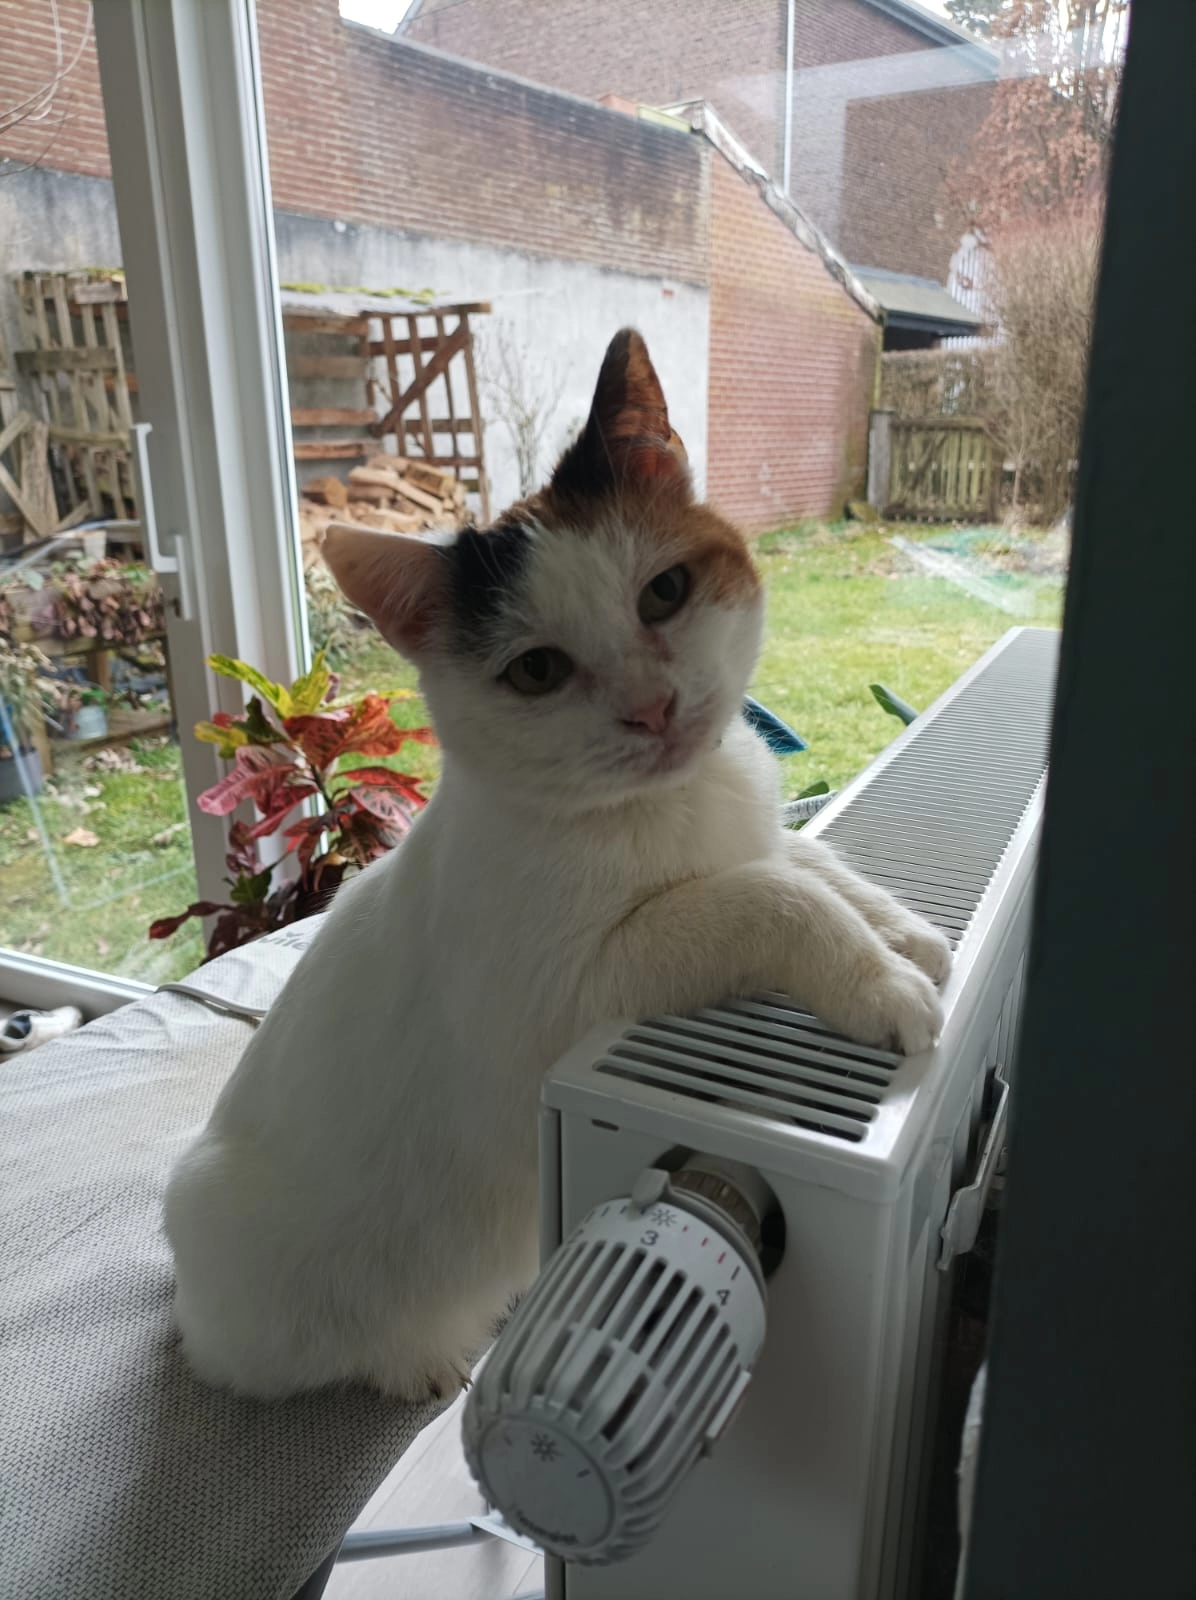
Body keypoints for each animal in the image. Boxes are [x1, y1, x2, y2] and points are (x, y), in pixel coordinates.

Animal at [164, 329, 950, 1402]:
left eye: (665, 591)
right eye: (536, 671)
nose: (654, 709)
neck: (661, 807)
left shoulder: (748, 826)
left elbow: (804, 857)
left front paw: (907, 931)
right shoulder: (561, 1000)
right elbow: (768, 893)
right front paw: (878, 979)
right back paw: (425, 1361)